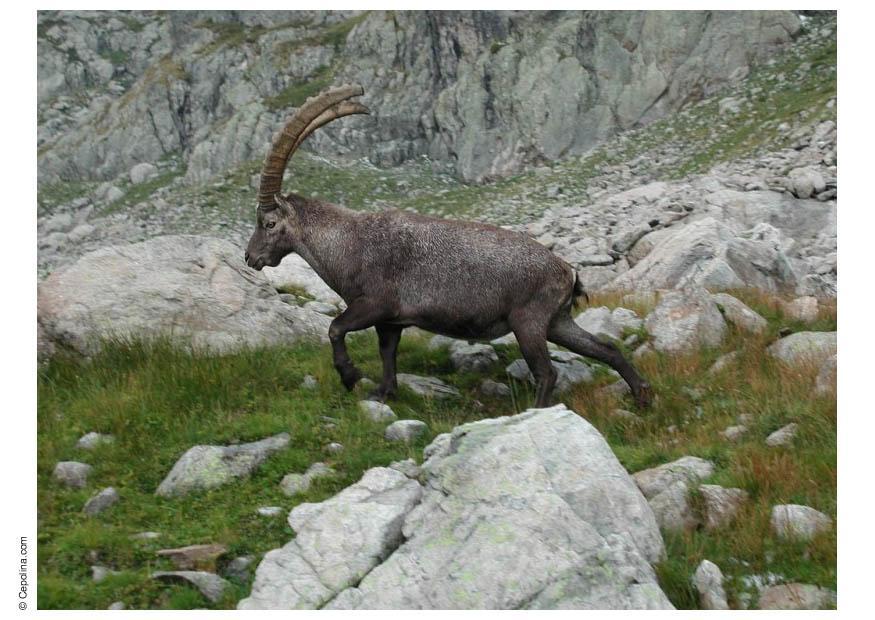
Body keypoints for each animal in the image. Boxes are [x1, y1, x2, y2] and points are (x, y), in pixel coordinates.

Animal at [245, 84, 653, 409]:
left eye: (268, 223)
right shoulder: (391, 321)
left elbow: (334, 328)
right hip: (558, 320)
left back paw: (535, 412)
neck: (348, 243)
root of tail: (566, 270)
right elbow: (387, 353)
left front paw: (349, 376)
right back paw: (643, 396)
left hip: (529, 320)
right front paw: (383, 392)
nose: (250, 257)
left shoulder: (374, 304)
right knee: (606, 349)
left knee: (547, 373)